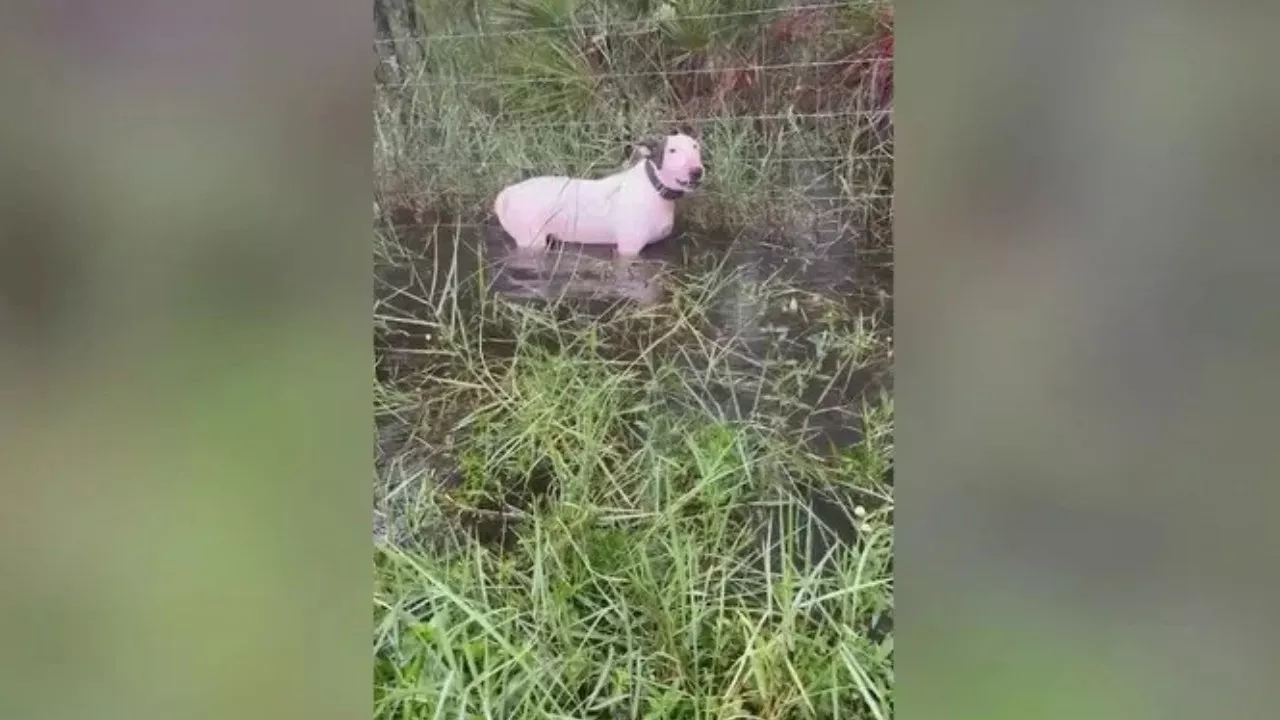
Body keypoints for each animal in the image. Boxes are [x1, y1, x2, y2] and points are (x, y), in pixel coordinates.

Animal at [491, 130, 711, 256]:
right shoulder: (628, 248)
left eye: (696, 147)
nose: (697, 171)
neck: (653, 187)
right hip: (531, 239)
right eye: (672, 150)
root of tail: (506, 194)